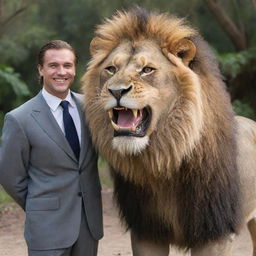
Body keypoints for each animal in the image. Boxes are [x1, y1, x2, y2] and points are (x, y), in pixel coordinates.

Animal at [81, 7, 256, 255]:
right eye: (111, 69)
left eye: (146, 70)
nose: (116, 91)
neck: (164, 161)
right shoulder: (147, 230)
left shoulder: (214, 233)